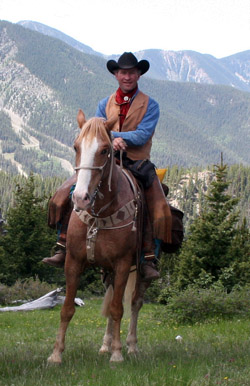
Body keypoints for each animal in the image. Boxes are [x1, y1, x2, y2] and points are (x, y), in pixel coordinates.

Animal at [47, 110, 151, 364]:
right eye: (76, 147)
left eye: (105, 150)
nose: (80, 198)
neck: (99, 214)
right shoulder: (73, 262)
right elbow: (67, 308)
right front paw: (56, 354)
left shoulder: (123, 264)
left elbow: (118, 309)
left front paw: (117, 354)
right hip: (108, 272)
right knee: (112, 298)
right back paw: (105, 345)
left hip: (139, 272)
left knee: (134, 303)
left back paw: (131, 346)